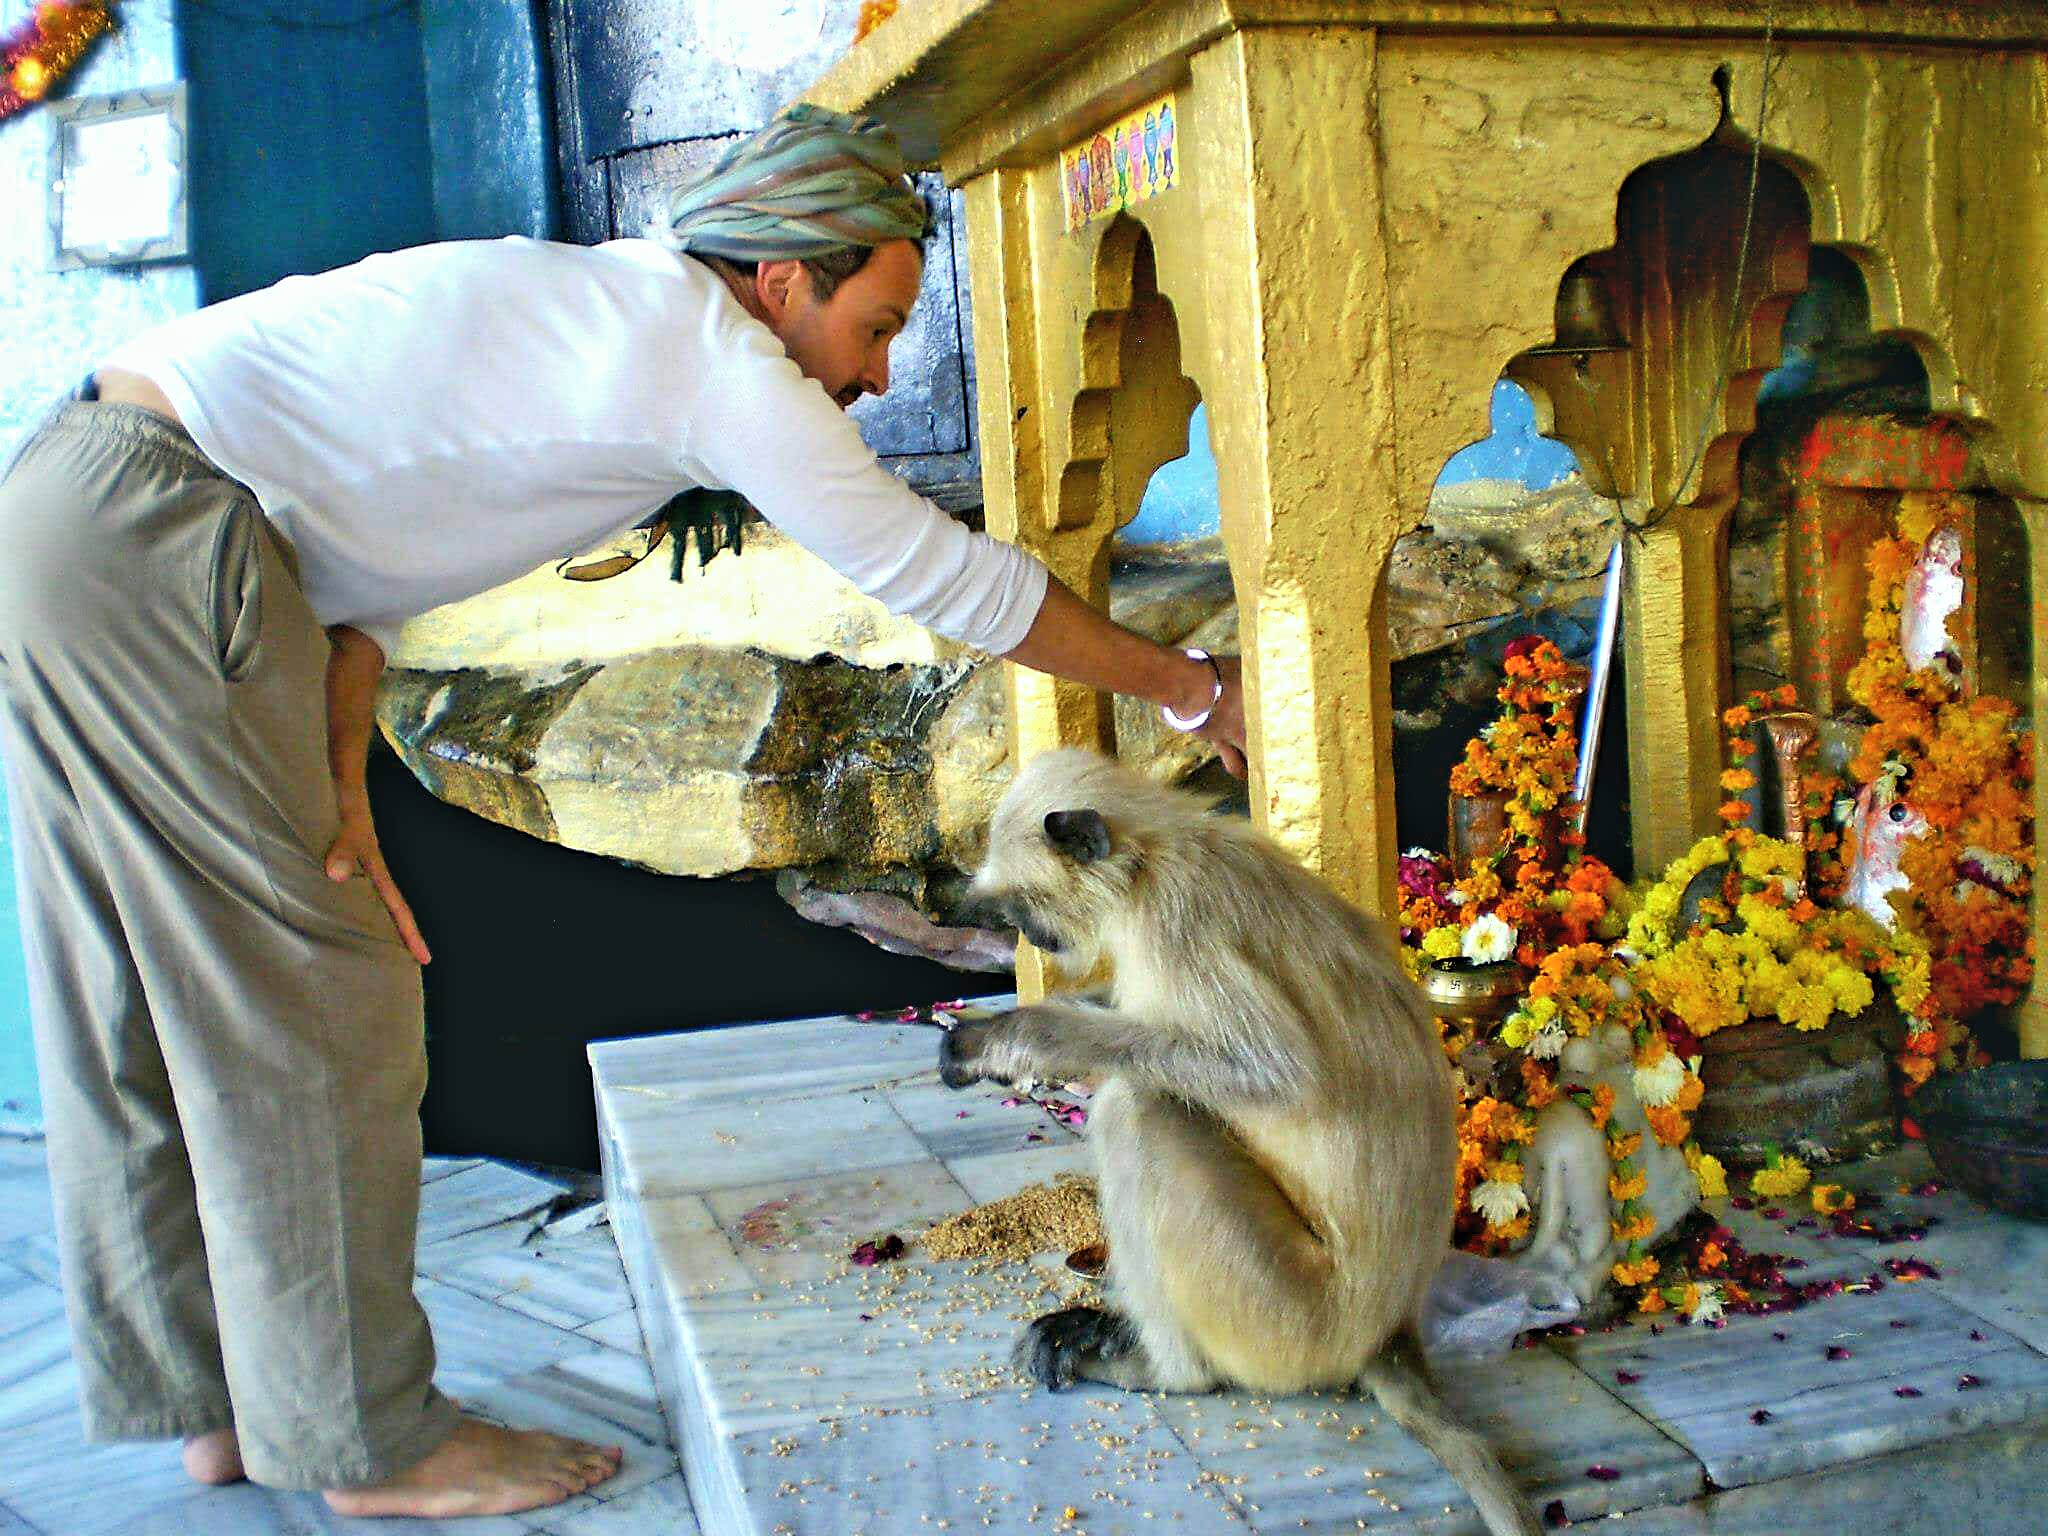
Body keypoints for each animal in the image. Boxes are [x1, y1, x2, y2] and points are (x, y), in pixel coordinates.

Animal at [939, 748, 1541, 1536]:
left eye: (1026, 908)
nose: (1032, 939)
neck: (1156, 856)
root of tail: (1385, 1327)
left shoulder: (1176, 921)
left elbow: (1277, 1072)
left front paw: (1017, 1038)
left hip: (1285, 1315)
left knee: (1137, 1111)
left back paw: (1168, 1372)